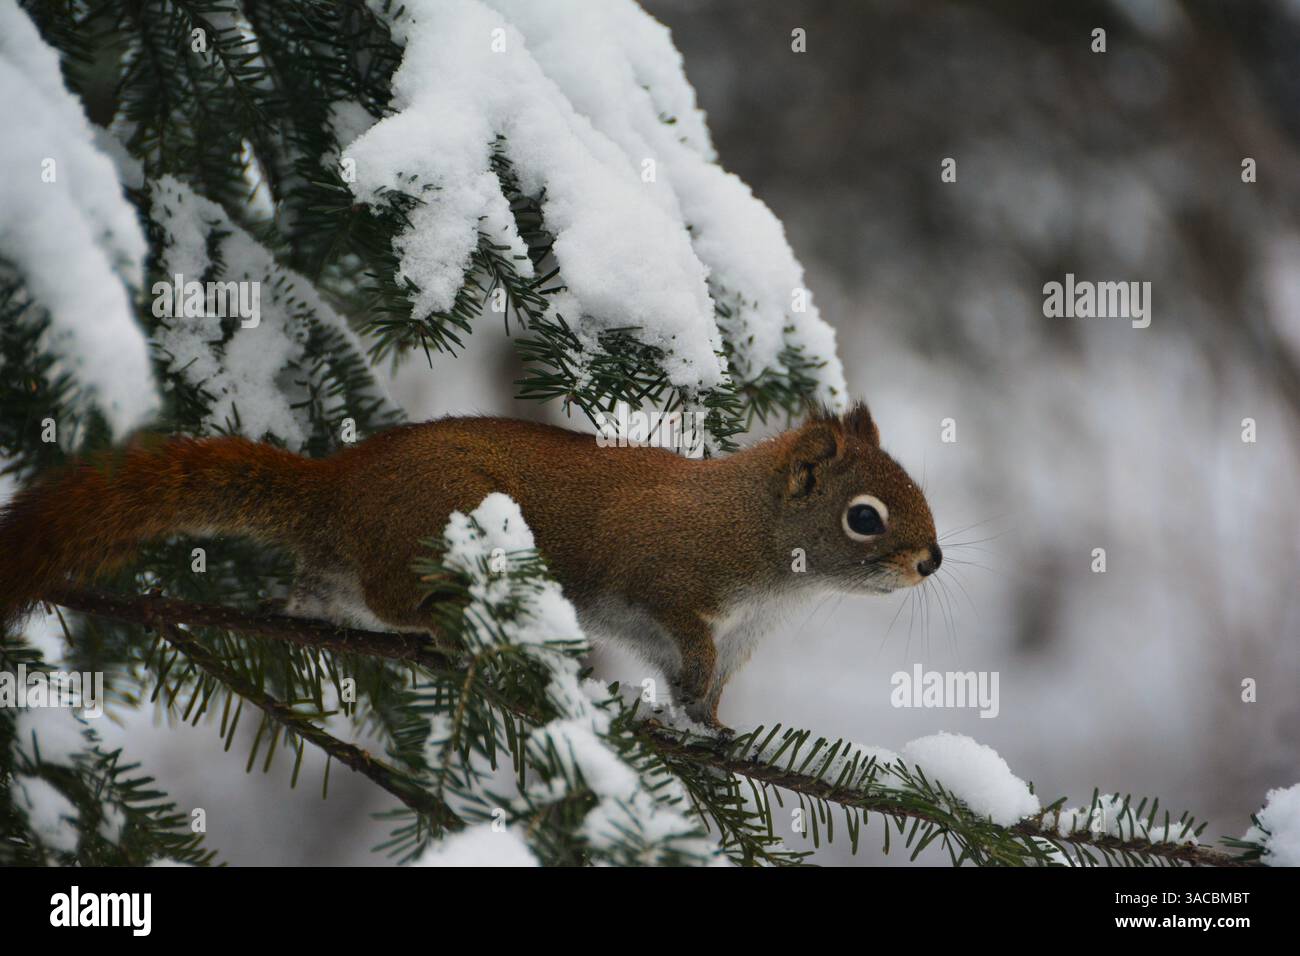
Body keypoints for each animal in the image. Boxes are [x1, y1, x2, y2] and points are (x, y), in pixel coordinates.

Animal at [0, 403, 939, 730]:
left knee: (323, 590)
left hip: (338, 568)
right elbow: (683, 644)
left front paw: (708, 724)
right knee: (394, 595)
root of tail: (341, 487)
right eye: (864, 518)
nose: (930, 560)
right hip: (443, 521)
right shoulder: (668, 585)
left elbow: (705, 689)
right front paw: (693, 714)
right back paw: (442, 625)